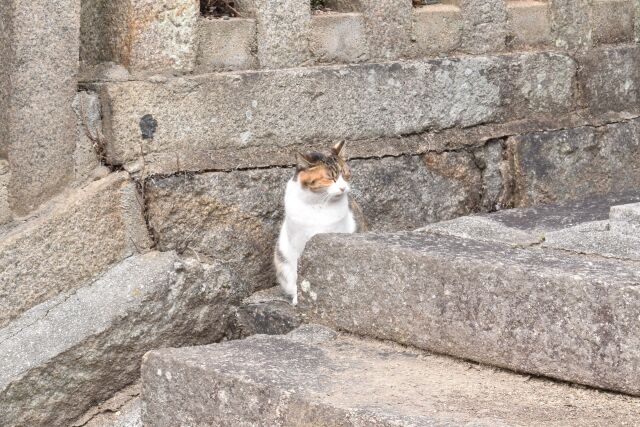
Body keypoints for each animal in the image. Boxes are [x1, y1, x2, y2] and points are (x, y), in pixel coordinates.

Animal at [276, 142, 364, 306]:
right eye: (331, 177)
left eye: (346, 174)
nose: (343, 187)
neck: (317, 204)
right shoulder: (296, 243)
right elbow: (297, 272)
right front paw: (298, 297)